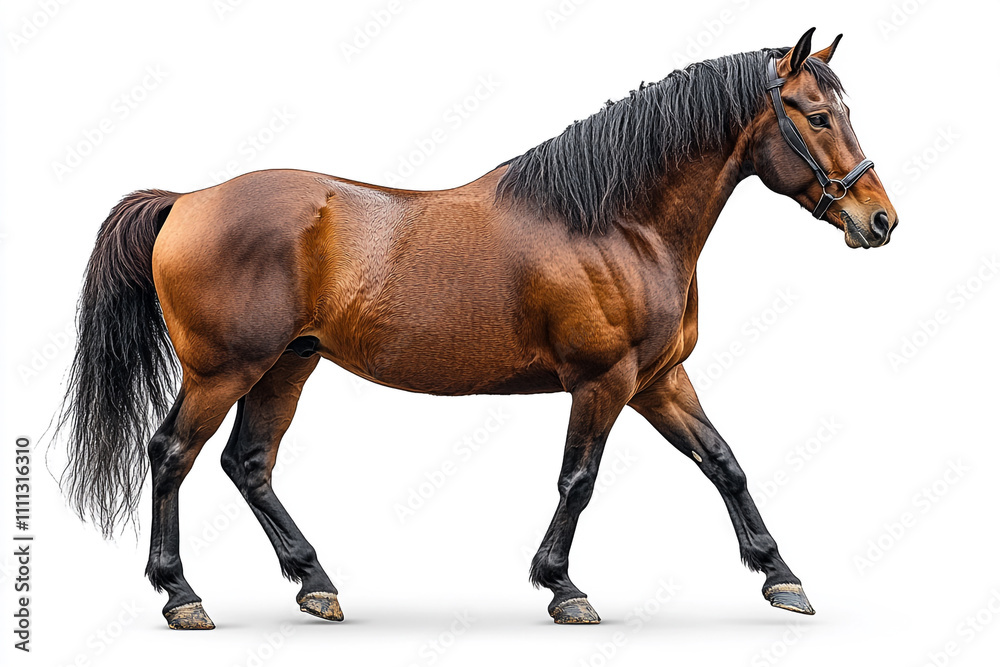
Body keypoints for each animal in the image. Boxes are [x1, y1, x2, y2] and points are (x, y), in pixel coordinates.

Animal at [56, 28, 897, 630]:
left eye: (846, 112)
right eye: (818, 116)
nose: (880, 220)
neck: (616, 222)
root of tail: (188, 199)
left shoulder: (657, 379)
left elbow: (724, 463)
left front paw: (781, 576)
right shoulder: (604, 381)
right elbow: (579, 478)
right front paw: (562, 587)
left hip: (287, 365)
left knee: (248, 463)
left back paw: (316, 583)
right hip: (223, 370)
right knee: (172, 454)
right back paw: (181, 595)